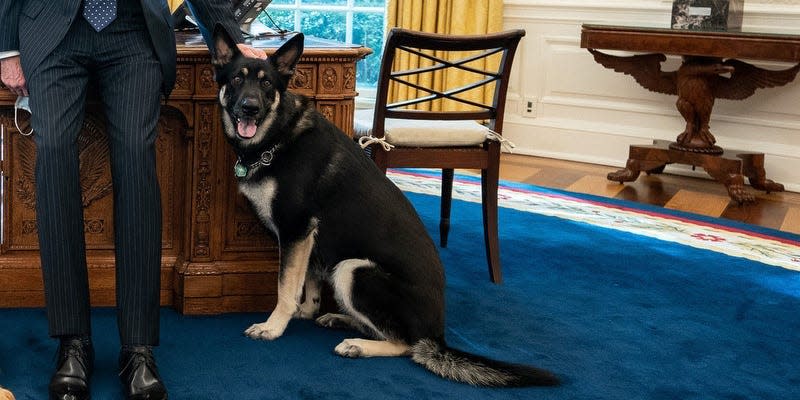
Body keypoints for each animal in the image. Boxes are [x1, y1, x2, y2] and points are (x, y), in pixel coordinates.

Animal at [212, 25, 560, 388]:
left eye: (267, 84)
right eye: (236, 79)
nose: (249, 108)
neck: (277, 135)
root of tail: (437, 335)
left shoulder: (296, 231)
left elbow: (285, 287)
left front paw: (274, 326)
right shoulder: (309, 240)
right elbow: (307, 281)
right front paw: (306, 310)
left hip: (353, 270)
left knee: (407, 345)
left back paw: (358, 345)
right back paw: (342, 320)